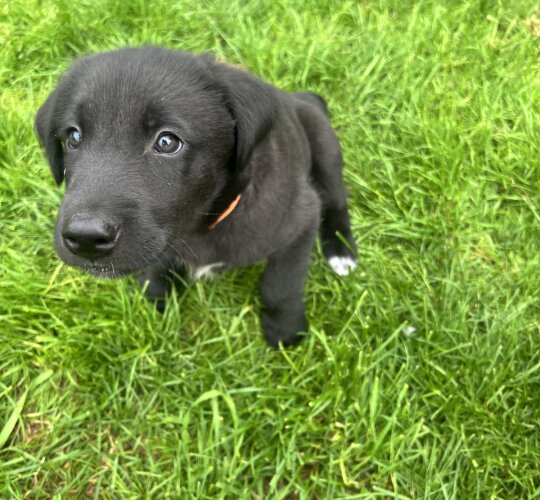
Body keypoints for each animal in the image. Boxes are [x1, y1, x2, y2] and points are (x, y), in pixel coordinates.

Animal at [35, 47, 356, 346]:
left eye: (167, 142)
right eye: (73, 137)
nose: (85, 238)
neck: (203, 225)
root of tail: (300, 100)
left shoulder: (301, 219)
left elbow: (281, 285)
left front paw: (285, 329)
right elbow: (159, 263)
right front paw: (157, 296)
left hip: (324, 144)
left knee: (337, 203)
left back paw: (342, 252)